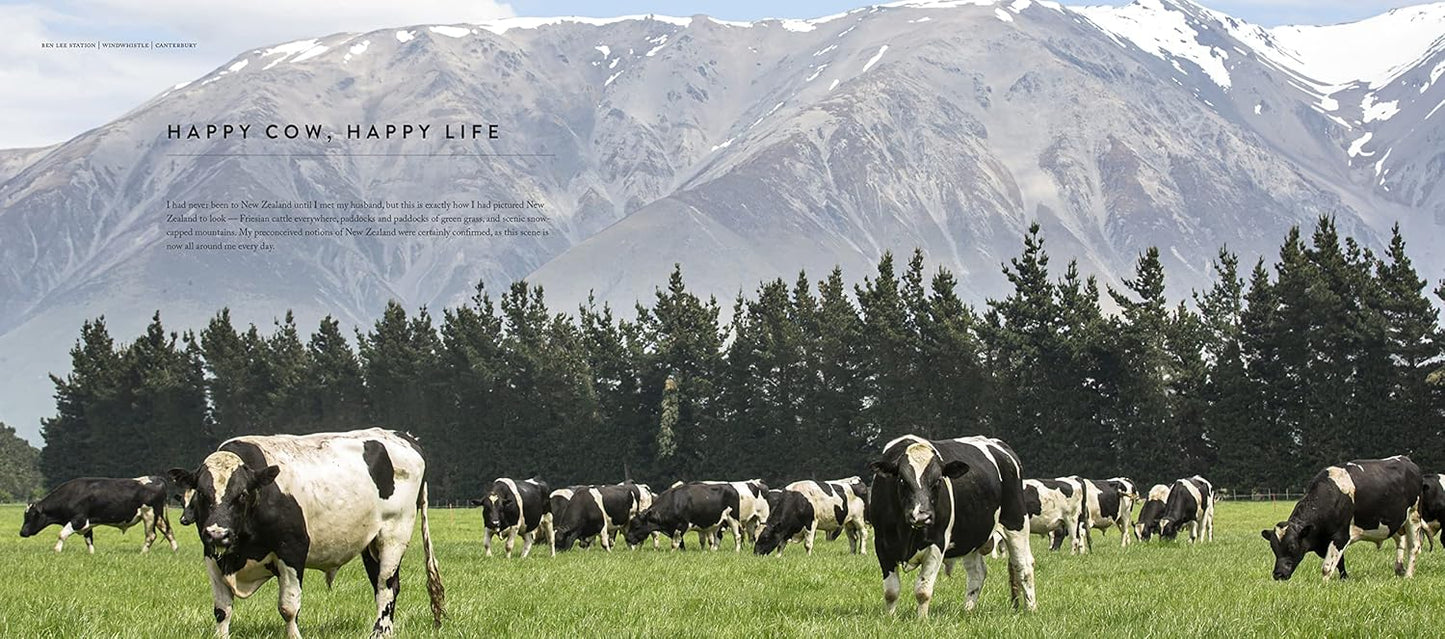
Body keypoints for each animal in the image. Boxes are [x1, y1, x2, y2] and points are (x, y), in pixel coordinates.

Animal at [19, 476, 178, 554]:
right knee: (168, 531)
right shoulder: (87, 523)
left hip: (149, 515)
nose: (22, 532)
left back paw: (142, 553)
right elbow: (89, 540)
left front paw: (56, 551)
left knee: (151, 536)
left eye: (32, 516)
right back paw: (175, 550)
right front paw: (91, 554)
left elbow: (62, 534)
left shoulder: (78, 520)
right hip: (158, 516)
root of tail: (157, 478)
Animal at [167, 428, 444, 639]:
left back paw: (381, 632)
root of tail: (404, 436)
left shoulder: (292, 550)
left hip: (394, 533)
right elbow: (222, 610)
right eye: (202, 494)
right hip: (371, 543)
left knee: (387, 585)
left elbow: (288, 607)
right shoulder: (212, 557)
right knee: (380, 584)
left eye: (242, 494)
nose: (218, 533)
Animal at [867, 434, 1036, 617]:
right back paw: (968, 610)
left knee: (1024, 566)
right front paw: (890, 617)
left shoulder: (937, 544)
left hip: (1016, 522)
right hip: (971, 536)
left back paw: (1031, 608)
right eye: (902, 480)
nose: (922, 516)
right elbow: (891, 591)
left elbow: (922, 590)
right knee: (977, 573)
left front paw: (921, 619)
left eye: (937, 481)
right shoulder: (882, 545)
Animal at [1262, 456, 1422, 581]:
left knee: (1414, 547)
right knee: (1400, 540)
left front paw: (1323, 584)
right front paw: (1344, 578)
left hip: (1413, 516)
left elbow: (1327, 567)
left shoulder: (1341, 536)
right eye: (1273, 547)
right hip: (1394, 522)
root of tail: (1407, 460)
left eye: (1292, 547)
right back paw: (1399, 569)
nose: (1278, 574)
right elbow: (1339, 562)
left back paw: (1408, 575)